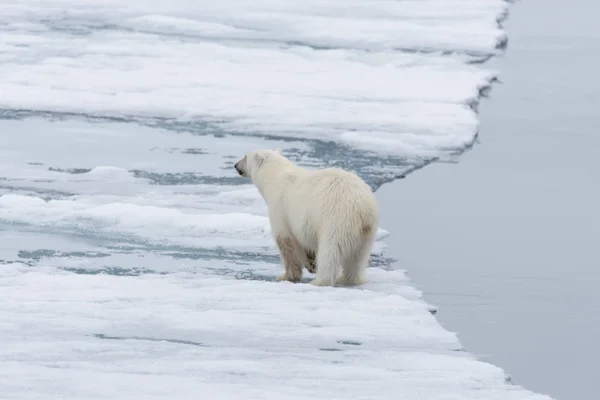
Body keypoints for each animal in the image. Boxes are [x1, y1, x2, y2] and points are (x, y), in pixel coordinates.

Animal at [234, 148, 380, 286]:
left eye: (245, 157)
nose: (235, 165)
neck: (275, 177)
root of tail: (363, 207)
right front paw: (311, 263)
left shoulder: (280, 208)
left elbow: (286, 241)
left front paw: (286, 276)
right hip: (367, 230)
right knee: (358, 256)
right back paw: (348, 279)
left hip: (337, 218)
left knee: (330, 250)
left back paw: (320, 281)